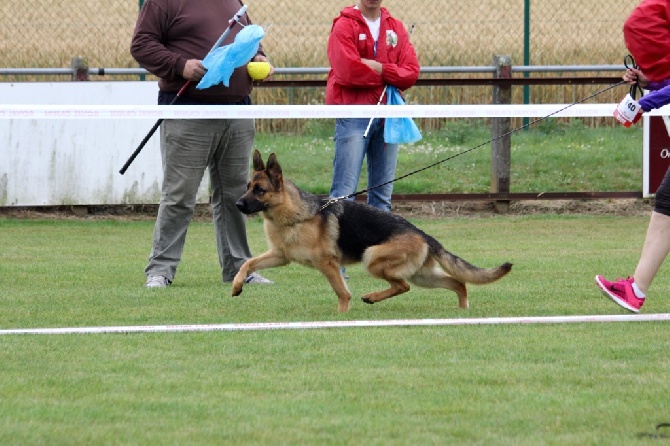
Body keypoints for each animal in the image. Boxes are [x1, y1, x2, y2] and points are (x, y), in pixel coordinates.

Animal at [234, 152, 512, 312]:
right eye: (247, 187)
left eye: (259, 190)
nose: (237, 205)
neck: (297, 214)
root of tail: (423, 234)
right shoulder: (280, 256)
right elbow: (248, 263)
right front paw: (237, 286)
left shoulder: (327, 264)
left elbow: (342, 292)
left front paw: (341, 316)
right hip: (422, 276)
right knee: (457, 282)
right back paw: (463, 309)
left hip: (373, 259)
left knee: (402, 286)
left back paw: (372, 297)